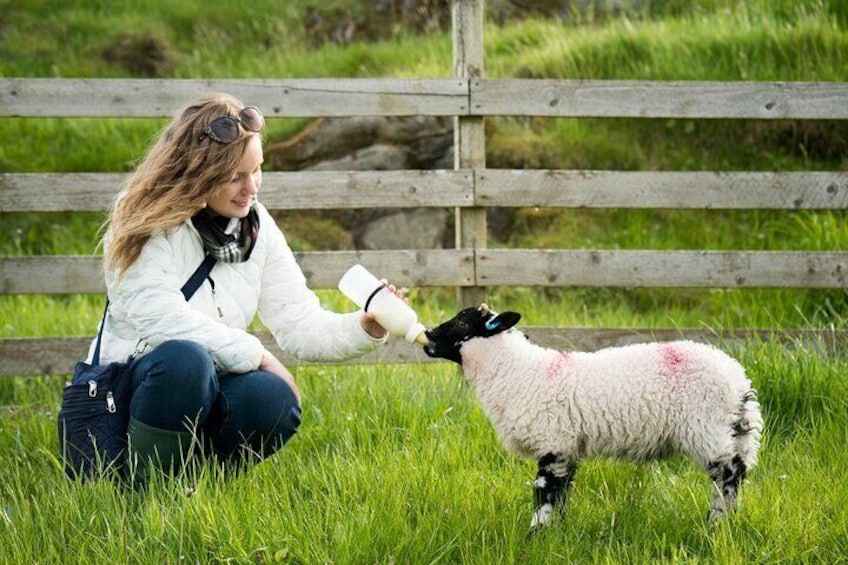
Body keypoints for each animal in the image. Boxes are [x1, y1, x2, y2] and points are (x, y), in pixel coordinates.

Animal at [424, 304, 760, 528]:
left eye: (462, 322)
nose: (427, 334)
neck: (516, 371)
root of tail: (739, 381)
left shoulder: (554, 443)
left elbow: (545, 494)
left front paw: (536, 535)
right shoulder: (568, 448)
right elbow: (561, 496)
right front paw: (555, 536)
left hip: (705, 428)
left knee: (729, 473)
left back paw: (717, 523)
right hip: (729, 431)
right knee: (737, 470)